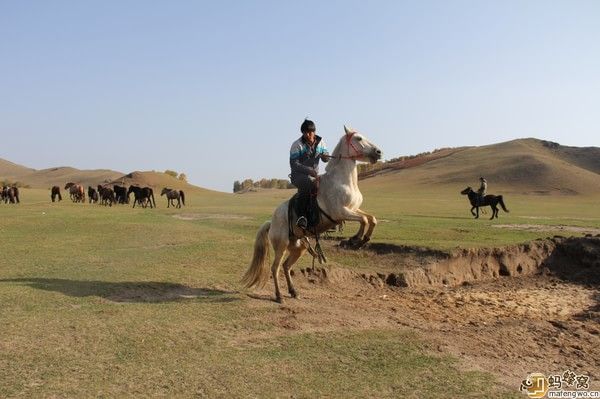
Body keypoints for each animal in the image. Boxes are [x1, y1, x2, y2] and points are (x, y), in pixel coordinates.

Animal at [241, 125, 382, 304]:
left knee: (287, 266)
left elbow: (371, 219)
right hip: (281, 245)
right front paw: (355, 240)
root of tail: (271, 223)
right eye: (358, 138)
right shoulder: (340, 212)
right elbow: (363, 220)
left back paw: (293, 292)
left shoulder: (353, 209)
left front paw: (363, 239)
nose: (378, 152)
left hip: (298, 248)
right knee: (275, 267)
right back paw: (279, 296)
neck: (342, 181)